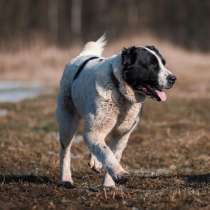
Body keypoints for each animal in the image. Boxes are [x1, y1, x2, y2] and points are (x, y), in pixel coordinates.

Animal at [55, 35, 176, 188]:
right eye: (152, 65)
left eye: (163, 63)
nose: (173, 78)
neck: (120, 90)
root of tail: (83, 55)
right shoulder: (94, 130)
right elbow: (107, 154)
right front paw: (120, 174)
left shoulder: (122, 134)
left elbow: (113, 154)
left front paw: (109, 184)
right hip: (68, 122)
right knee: (65, 150)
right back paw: (66, 179)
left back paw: (95, 162)